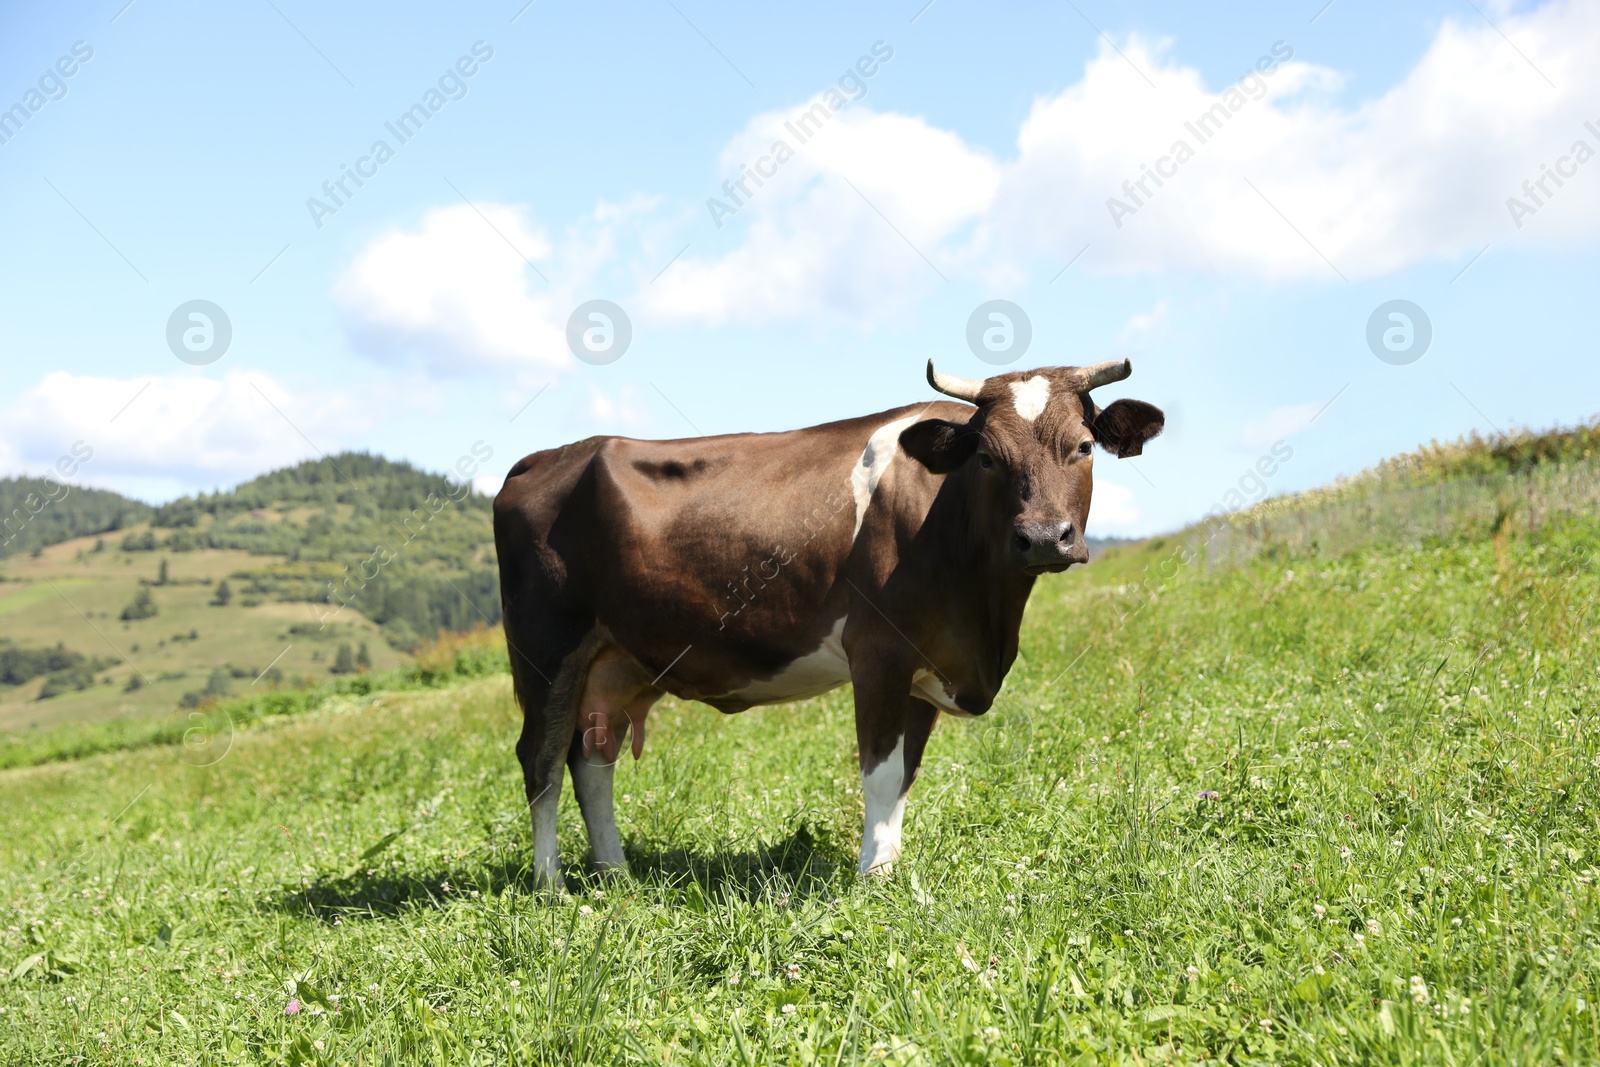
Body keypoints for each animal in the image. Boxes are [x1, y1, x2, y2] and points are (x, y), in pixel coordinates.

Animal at [489, 358, 1164, 883]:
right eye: (989, 459)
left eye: (1083, 446)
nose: (1044, 538)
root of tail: (543, 458)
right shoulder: (880, 653)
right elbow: (879, 774)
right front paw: (872, 881)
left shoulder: (925, 669)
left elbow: (903, 779)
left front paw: (889, 873)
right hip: (547, 650)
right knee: (541, 760)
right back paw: (552, 886)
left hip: (615, 661)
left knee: (590, 761)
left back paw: (616, 876)